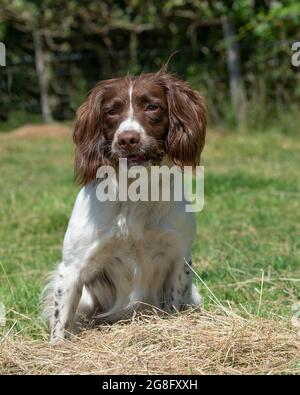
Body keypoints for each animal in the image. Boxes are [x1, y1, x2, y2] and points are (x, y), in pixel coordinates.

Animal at [42, 71, 206, 344]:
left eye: (152, 106)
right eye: (111, 111)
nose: (128, 139)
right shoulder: (71, 268)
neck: (136, 192)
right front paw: (57, 349)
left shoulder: (178, 258)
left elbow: (173, 304)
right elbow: (61, 323)